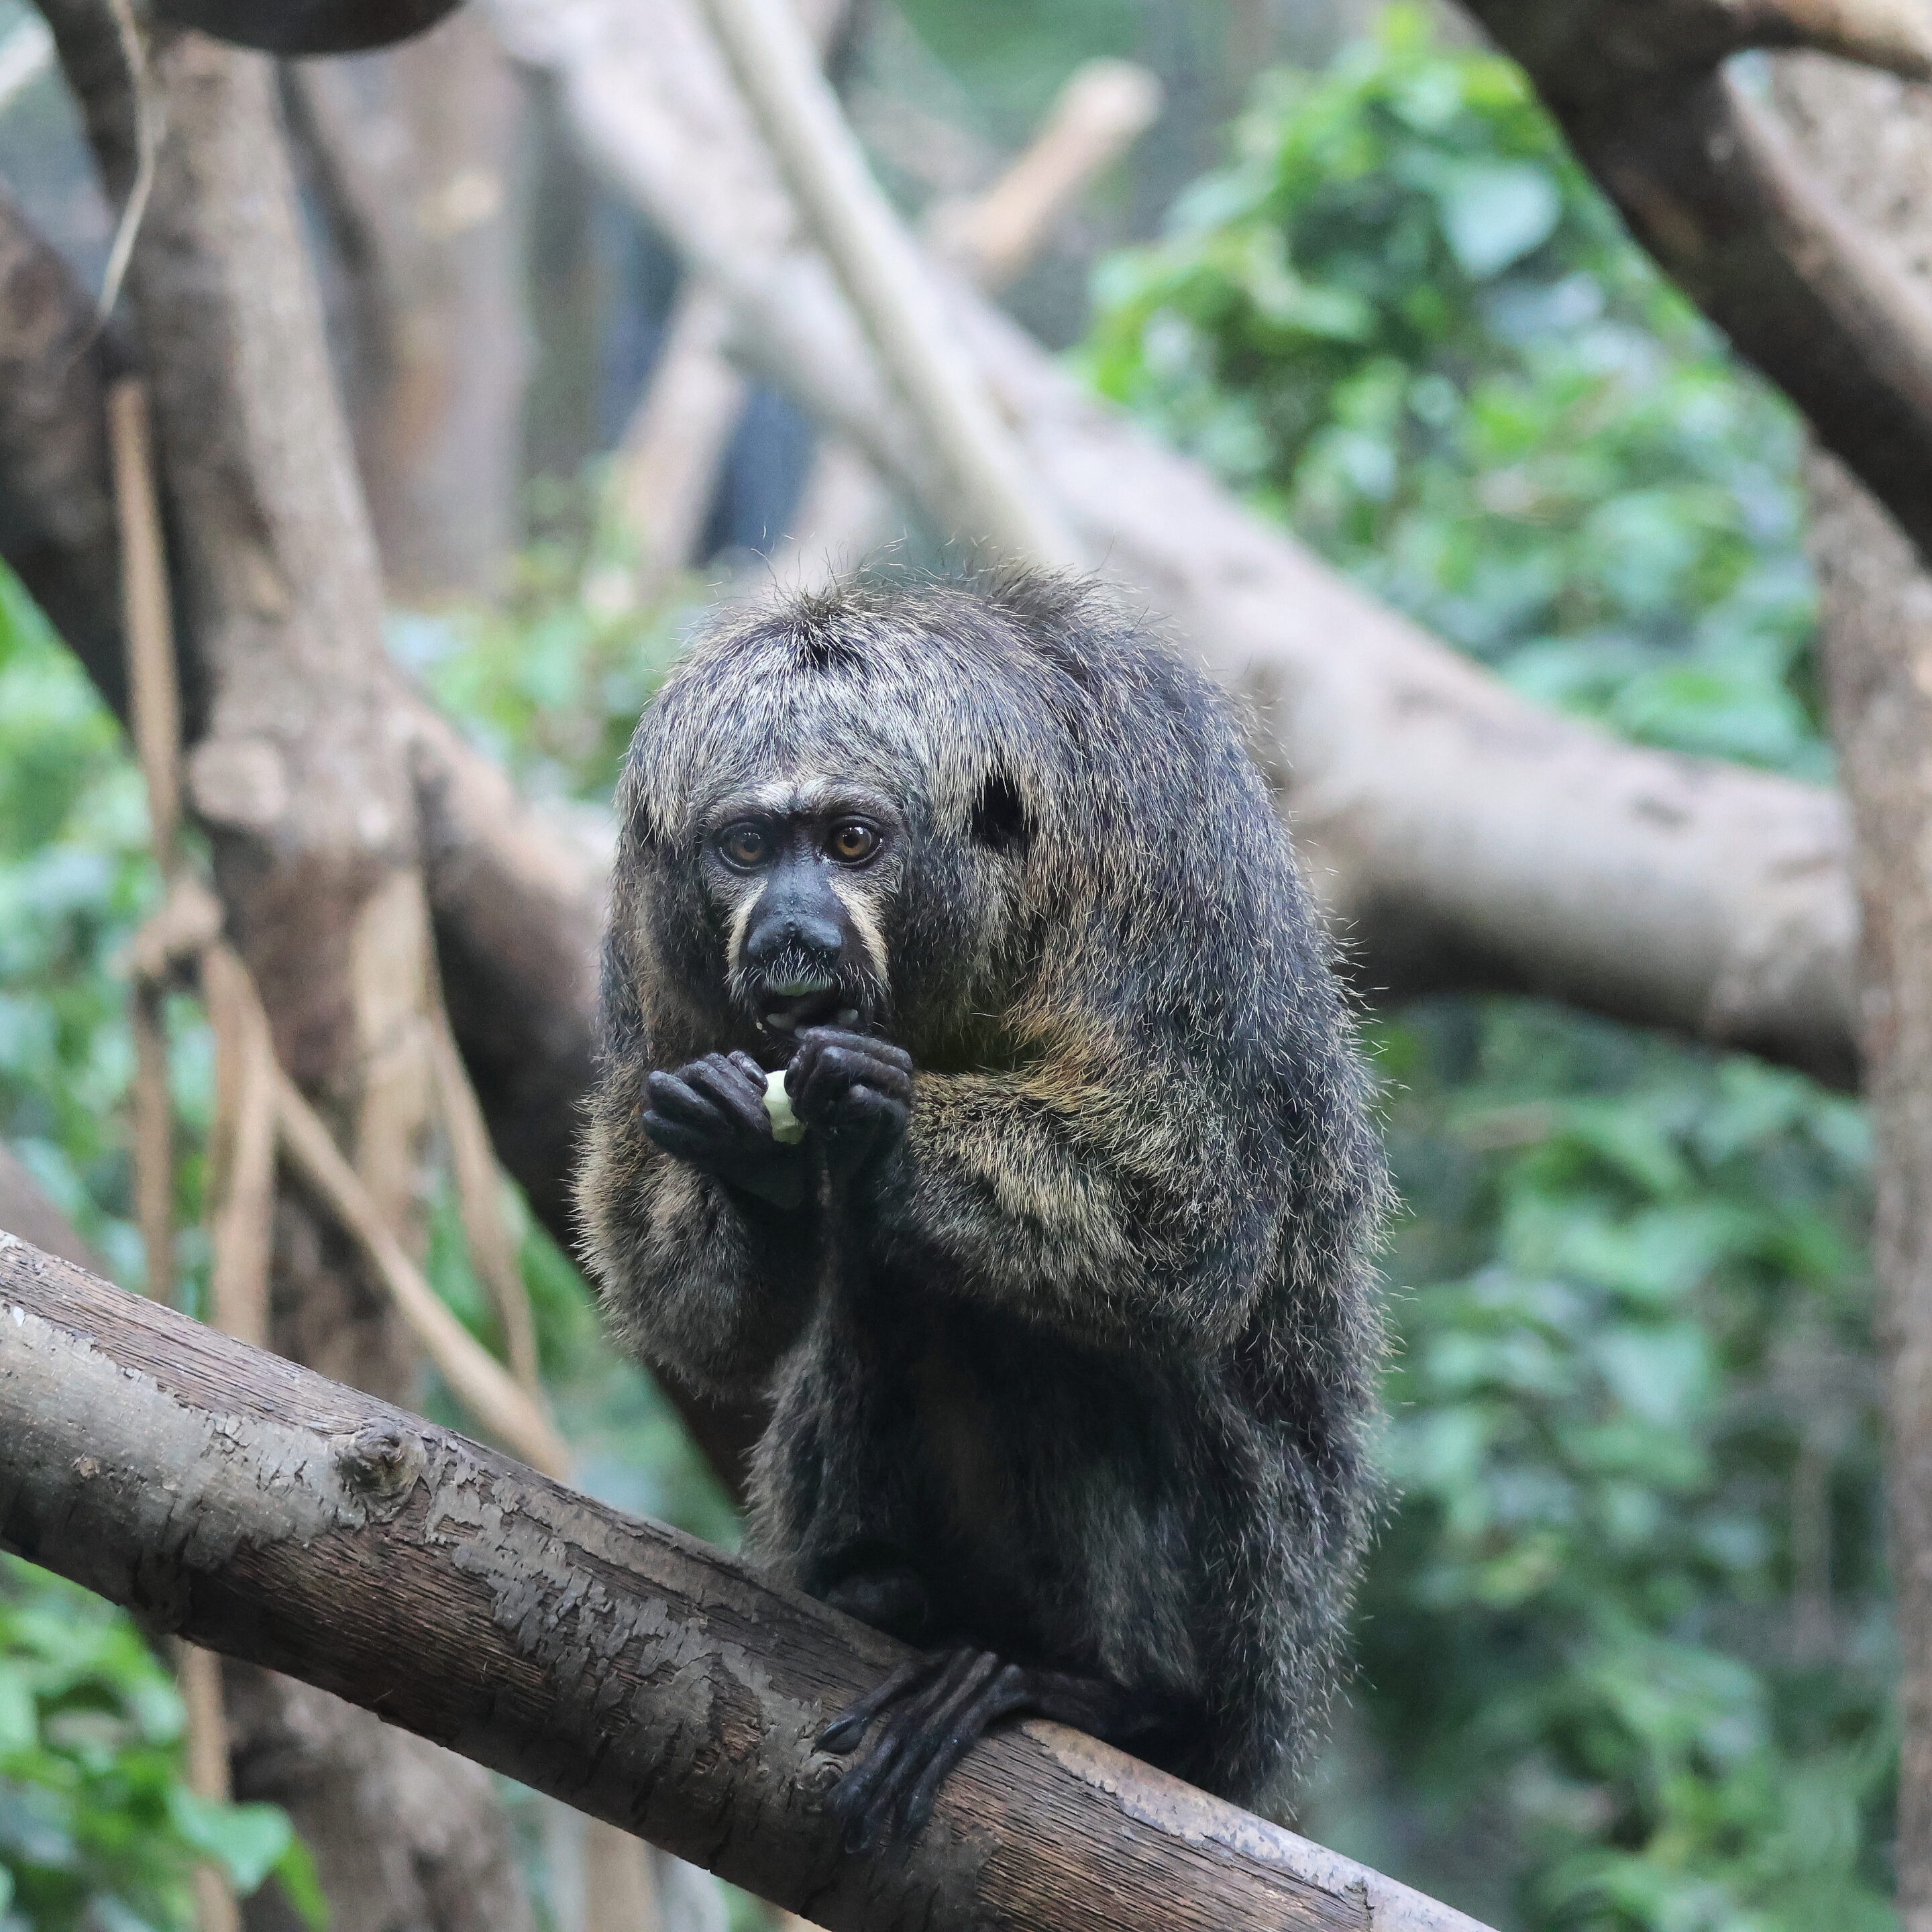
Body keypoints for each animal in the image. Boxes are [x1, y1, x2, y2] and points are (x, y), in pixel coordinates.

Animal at [576, 568, 1386, 1850]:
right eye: (747, 847)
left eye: (852, 841)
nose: (792, 927)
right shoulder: (653, 934)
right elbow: (687, 1316)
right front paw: (756, 1157)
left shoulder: (1163, 854)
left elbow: (1187, 1220)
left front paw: (874, 1115)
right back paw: (881, 1590)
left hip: (1254, 1608)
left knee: (1055, 1335)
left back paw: (1109, 1695)